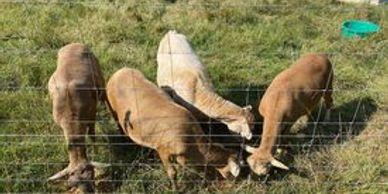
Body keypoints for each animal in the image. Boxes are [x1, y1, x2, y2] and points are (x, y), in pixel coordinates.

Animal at [47, 42, 106, 191]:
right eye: (73, 184)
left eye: (92, 176)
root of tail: (73, 43)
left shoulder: (91, 115)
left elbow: (92, 136)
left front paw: (96, 151)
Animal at [104, 67, 241, 189]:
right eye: (232, 174)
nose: (234, 185)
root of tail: (119, 71)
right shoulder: (163, 149)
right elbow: (172, 172)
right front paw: (175, 188)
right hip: (113, 110)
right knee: (119, 126)